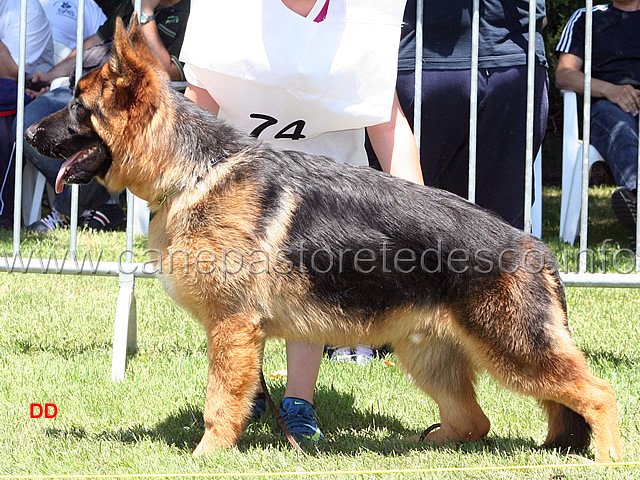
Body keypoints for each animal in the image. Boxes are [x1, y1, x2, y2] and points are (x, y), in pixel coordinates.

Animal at [25, 17, 620, 462]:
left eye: (78, 106)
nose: (29, 133)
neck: (192, 171)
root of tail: (536, 249)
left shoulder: (233, 329)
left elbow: (219, 401)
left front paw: (206, 455)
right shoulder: (241, 335)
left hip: (514, 351)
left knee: (597, 393)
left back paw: (606, 457)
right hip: (430, 356)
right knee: (476, 421)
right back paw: (418, 446)